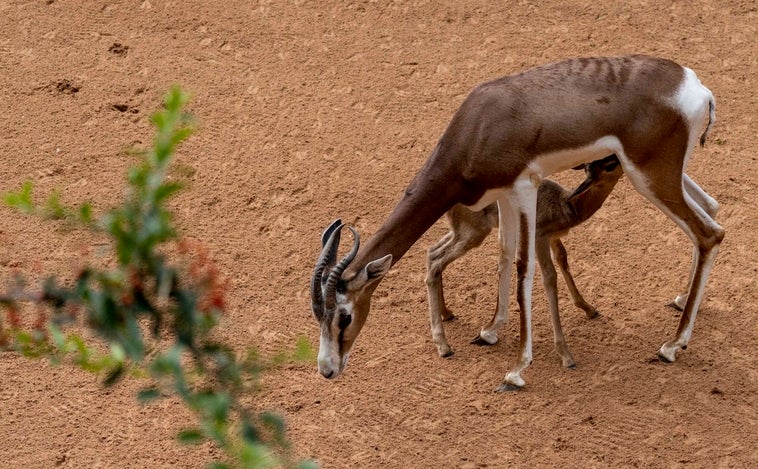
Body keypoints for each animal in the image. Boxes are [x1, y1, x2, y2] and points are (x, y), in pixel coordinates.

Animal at [428, 154, 624, 366]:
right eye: (610, 165)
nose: (622, 158)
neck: (567, 204)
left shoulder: (553, 238)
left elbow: (563, 259)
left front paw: (589, 309)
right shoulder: (540, 238)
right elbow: (550, 278)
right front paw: (566, 355)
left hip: (461, 233)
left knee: (432, 253)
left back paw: (447, 314)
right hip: (473, 234)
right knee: (436, 262)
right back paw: (444, 346)